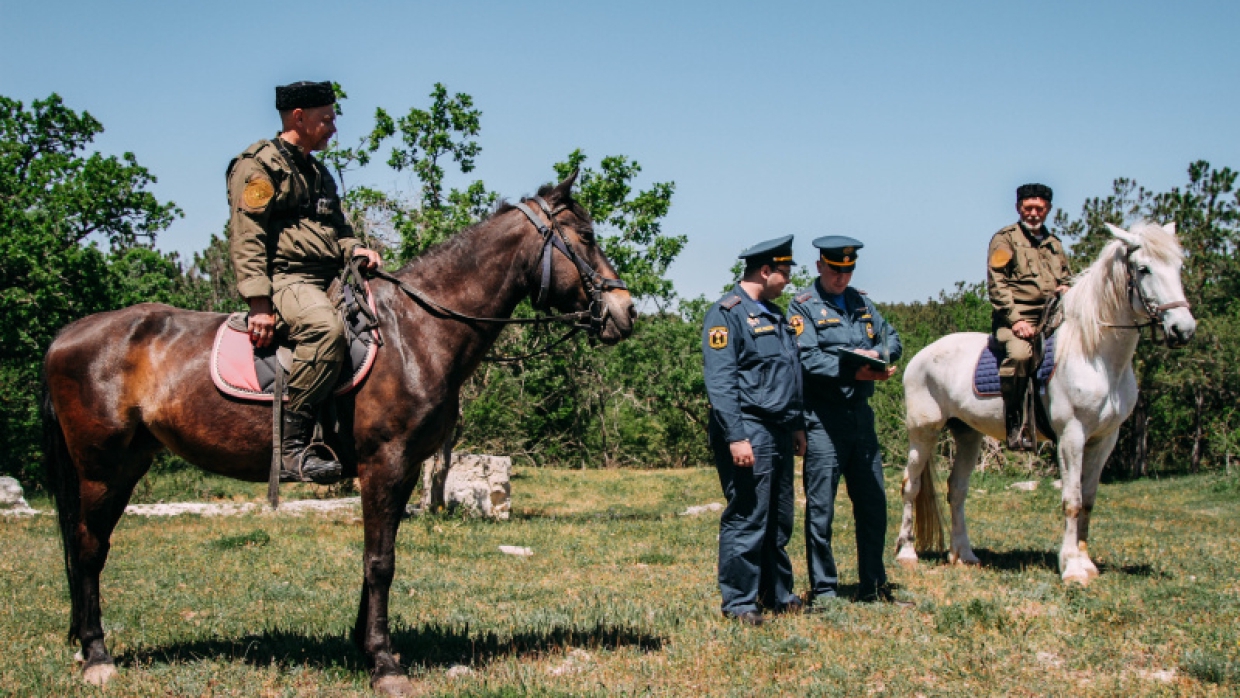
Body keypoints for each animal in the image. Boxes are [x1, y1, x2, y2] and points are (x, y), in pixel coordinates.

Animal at [43, 172, 634, 694]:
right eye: (585, 237)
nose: (625, 311)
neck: (415, 332)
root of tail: (67, 336)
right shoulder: (384, 463)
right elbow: (380, 562)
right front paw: (384, 663)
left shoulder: (405, 468)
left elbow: (378, 556)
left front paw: (364, 645)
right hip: (101, 468)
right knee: (88, 548)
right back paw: (97, 655)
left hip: (127, 464)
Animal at [897, 223, 1195, 585]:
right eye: (1144, 269)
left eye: (1179, 267)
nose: (1183, 329)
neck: (1093, 353)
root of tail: (922, 355)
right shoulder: (1072, 436)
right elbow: (1072, 500)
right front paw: (1072, 568)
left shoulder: (1104, 439)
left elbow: (1089, 499)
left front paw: (1086, 562)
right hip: (923, 432)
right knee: (910, 486)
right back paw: (906, 553)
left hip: (968, 434)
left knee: (957, 489)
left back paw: (964, 555)